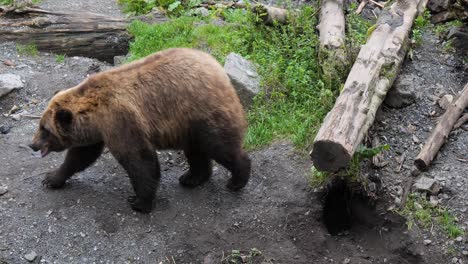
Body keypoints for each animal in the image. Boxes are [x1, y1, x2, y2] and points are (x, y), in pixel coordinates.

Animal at [28, 47, 250, 212]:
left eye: (44, 129)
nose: (32, 144)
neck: (95, 115)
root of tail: (216, 66)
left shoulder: (120, 120)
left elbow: (139, 159)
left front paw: (139, 202)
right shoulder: (97, 131)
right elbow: (80, 156)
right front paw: (51, 178)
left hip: (202, 110)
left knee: (220, 146)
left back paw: (237, 179)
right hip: (189, 124)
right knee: (196, 151)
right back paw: (191, 177)